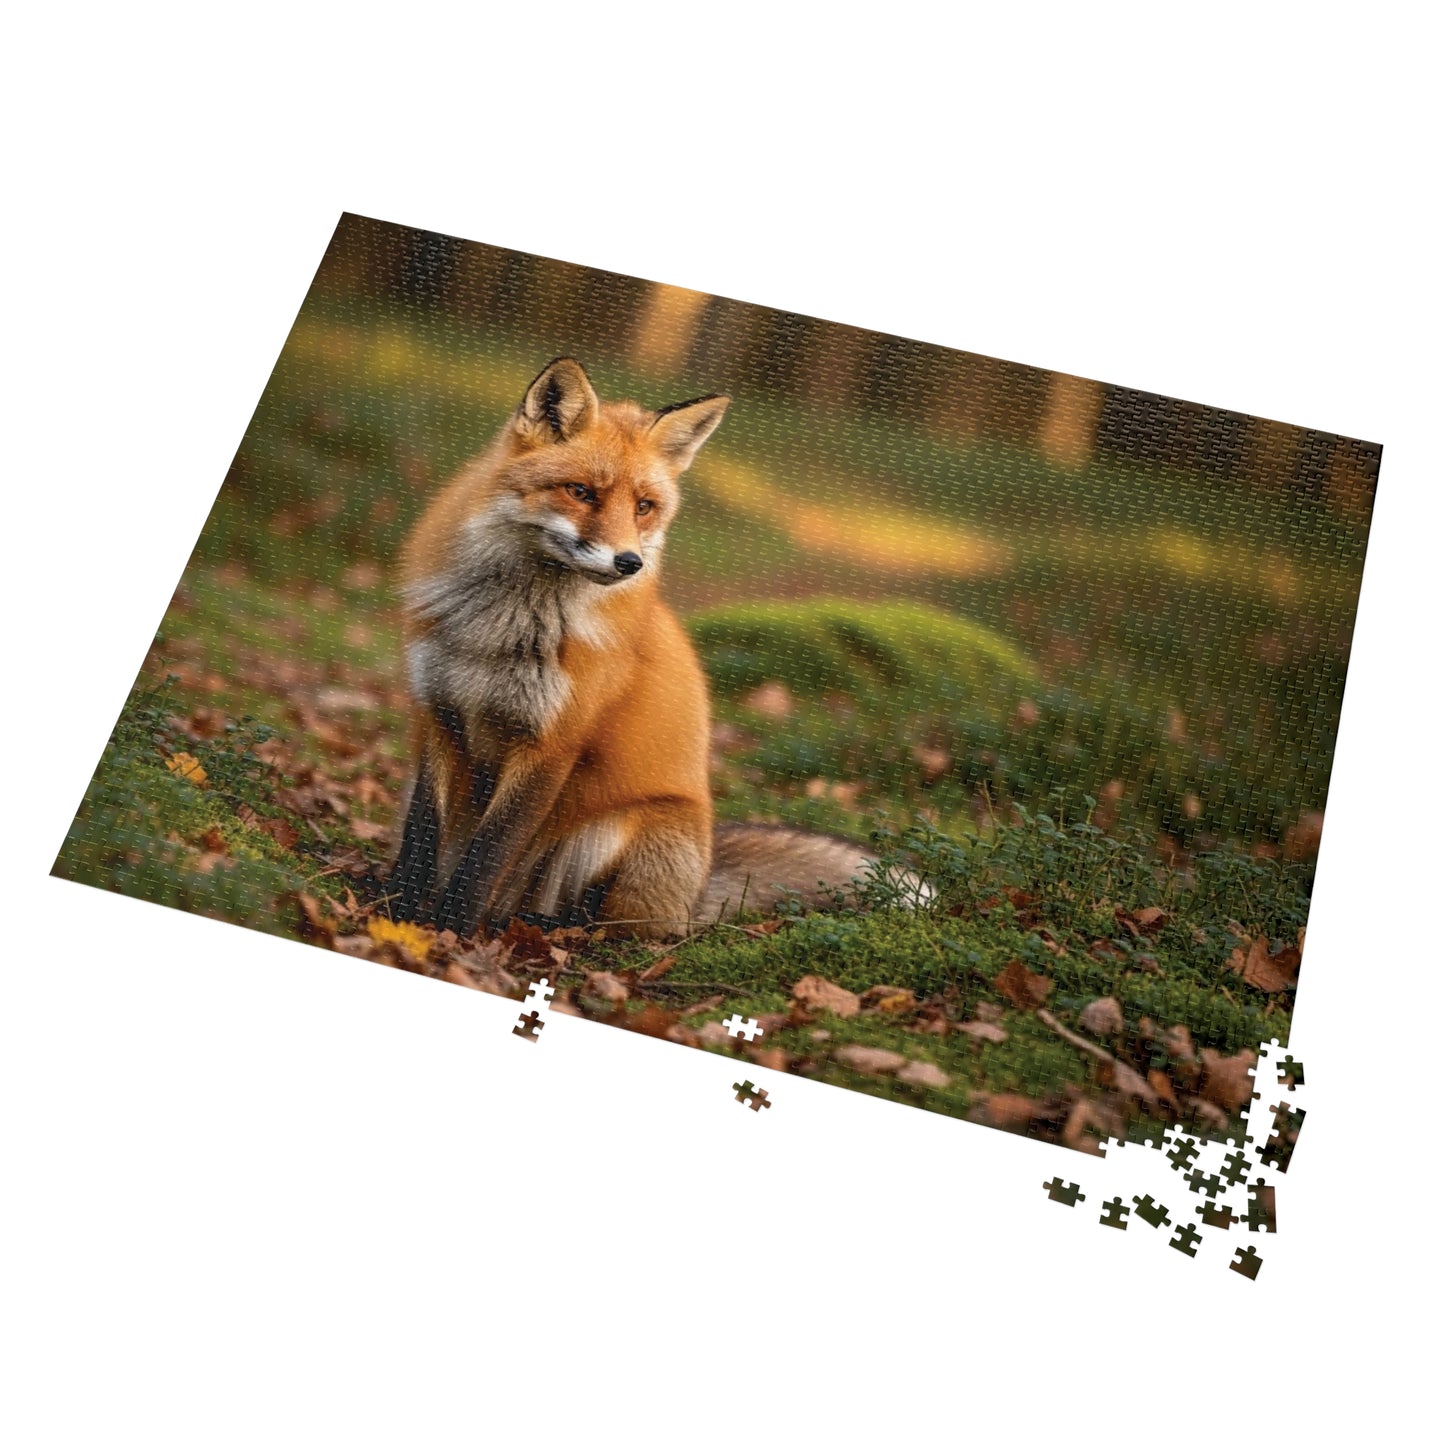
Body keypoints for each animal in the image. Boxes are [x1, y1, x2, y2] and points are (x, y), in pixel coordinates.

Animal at [387, 356, 875, 940]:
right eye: (580, 492)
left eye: (644, 506)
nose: (629, 564)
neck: (502, 625)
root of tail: (701, 885)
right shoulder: (438, 715)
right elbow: (421, 838)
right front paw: (395, 915)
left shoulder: (552, 745)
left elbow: (486, 857)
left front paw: (450, 932)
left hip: (615, 836)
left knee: (621, 926)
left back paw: (543, 928)